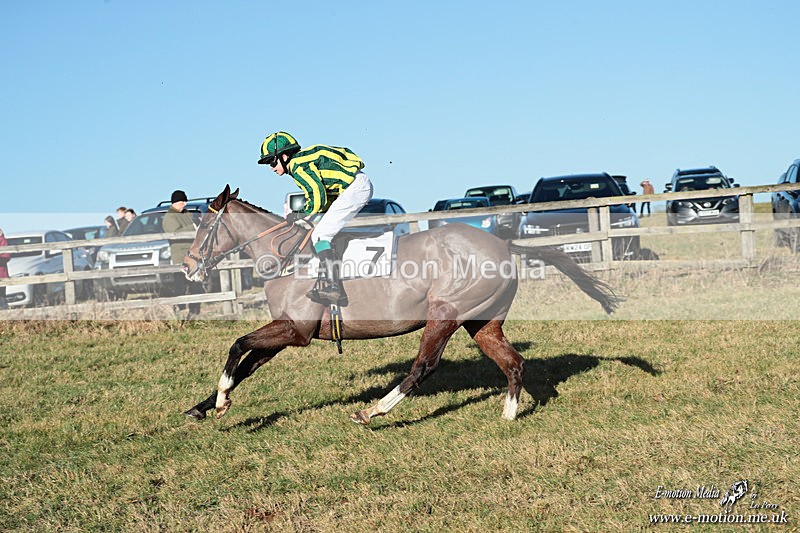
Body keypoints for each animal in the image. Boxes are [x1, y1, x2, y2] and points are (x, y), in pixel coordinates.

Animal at [181, 185, 619, 425]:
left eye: (203, 227)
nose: (187, 266)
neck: (287, 255)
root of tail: (503, 243)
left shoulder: (295, 330)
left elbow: (237, 346)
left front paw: (221, 398)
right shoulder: (285, 332)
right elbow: (245, 365)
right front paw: (205, 406)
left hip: (444, 313)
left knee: (423, 366)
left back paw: (373, 411)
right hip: (481, 322)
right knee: (513, 363)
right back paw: (508, 414)